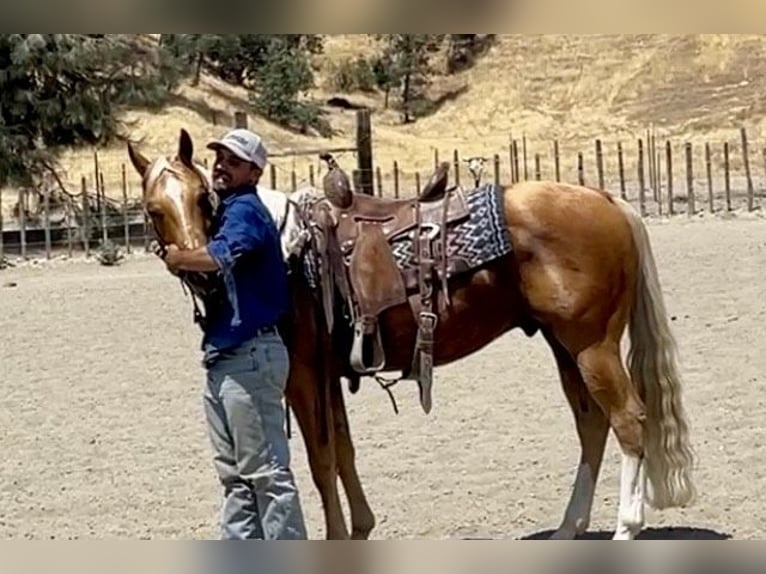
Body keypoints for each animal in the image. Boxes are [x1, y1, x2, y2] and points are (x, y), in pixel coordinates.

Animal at [128, 128, 696, 541]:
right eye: (155, 209)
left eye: (204, 197)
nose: (205, 273)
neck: (290, 254)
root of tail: (605, 198)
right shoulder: (329, 375)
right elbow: (345, 452)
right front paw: (360, 529)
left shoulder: (303, 374)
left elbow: (321, 460)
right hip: (565, 347)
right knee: (592, 425)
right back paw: (567, 529)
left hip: (593, 346)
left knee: (629, 420)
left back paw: (625, 530)